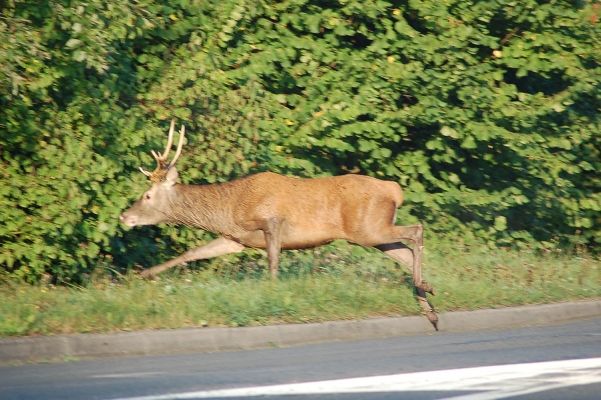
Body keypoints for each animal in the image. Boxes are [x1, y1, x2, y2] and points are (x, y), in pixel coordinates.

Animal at [118, 120, 436, 326]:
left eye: (147, 195)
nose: (124, 216)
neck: (229, 208)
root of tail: (394, 190)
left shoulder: (271, 222)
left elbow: (272, 264)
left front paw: (273, 297)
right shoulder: (235, 239)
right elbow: (192, 253)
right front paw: (143, 274)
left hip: (369, 228)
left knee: (416, 231)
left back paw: (426, 289)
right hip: (372, 233)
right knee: (405, 253)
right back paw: (429, 307)